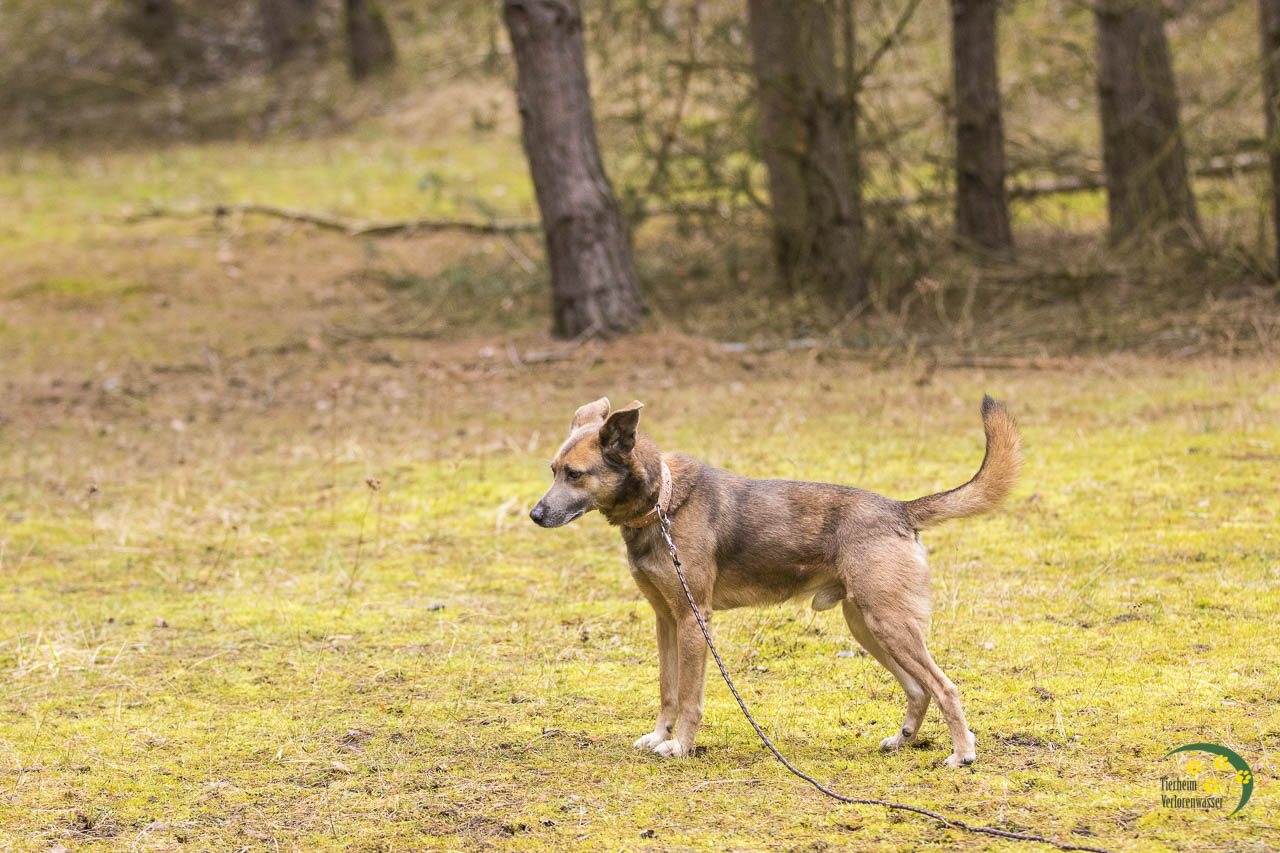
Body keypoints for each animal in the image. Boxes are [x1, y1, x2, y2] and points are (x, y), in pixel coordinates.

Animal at [530, 395, 1020, 767]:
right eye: (552, 470)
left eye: (575, 474)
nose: (534, 515)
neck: (662, 505)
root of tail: (900, 509)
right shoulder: (665, 620)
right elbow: (668, 691)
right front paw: (659, 737)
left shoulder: (693, 620)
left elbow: (689, 697)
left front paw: (680, 746)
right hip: (866, 625)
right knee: (919, 689)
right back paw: (902, 741)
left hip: (889, 624)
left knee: (944, 686)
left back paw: (962, 754)